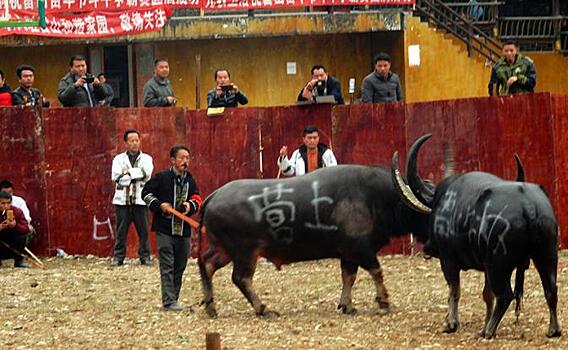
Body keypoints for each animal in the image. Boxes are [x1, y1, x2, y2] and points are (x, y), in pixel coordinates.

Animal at [197, 164, 428, 318]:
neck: (373, 196)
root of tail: (215, 195)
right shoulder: (360, 249)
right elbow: (377, 272)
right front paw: (384, 301)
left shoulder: (348, 254)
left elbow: (349, 277)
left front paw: (347, 305)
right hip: (245, 252)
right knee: (240, 278)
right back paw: (263, 308)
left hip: (223, 250)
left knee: (207, 263)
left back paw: (211, 306)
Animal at [390, 134, 560, 340]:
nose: (428, 247)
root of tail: (528, 206)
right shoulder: (485, 267)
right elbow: (487, 295)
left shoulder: (449, 261)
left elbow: (454, 291)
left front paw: (451, 324)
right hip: (546, 255)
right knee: (550, 289)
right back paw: (553, 329)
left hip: (499, 263)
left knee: (506, 295)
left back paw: (489, 331)